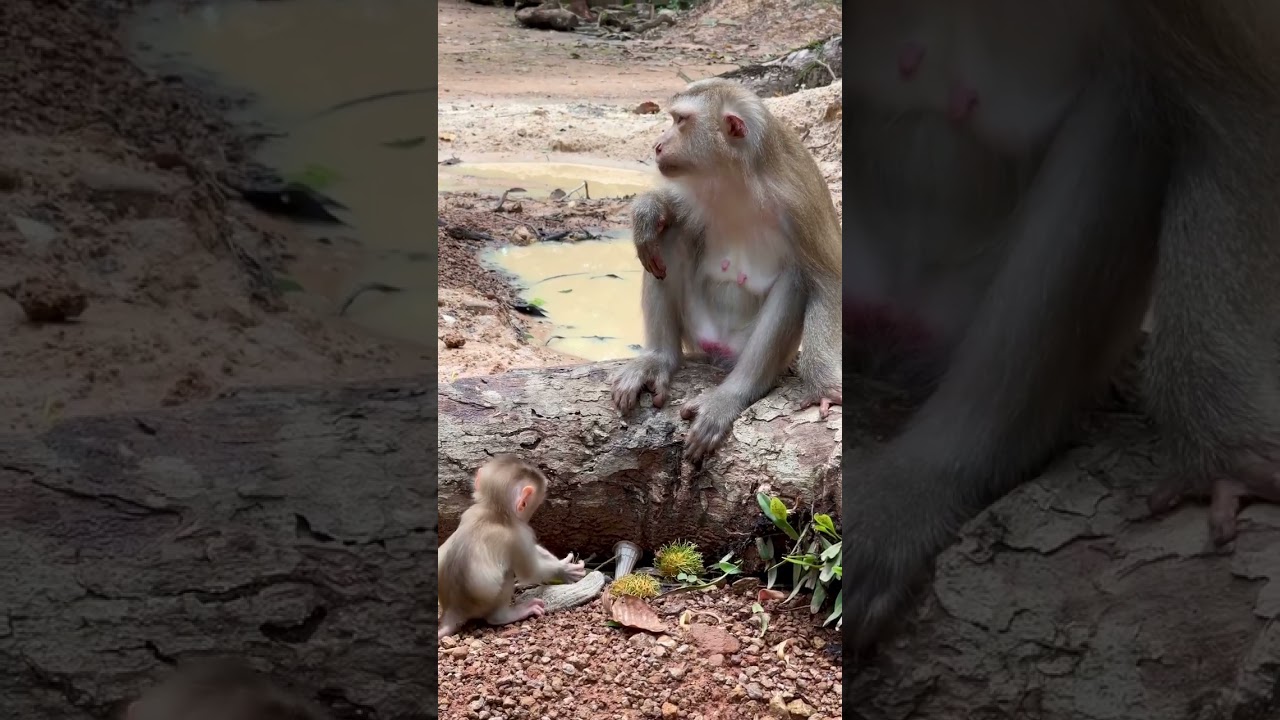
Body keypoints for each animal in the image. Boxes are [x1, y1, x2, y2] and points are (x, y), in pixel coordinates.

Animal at [437, 454, 586, 640]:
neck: (493, 512)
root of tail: (454, 611)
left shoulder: (470, 511)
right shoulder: (519, 534)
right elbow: (531, 571)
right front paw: (564, 570)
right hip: (488, 602)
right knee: (507, 577)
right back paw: (506, 615)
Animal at [609, 78, 843, 463]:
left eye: (680, 121)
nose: (658, 145)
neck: (736, 176)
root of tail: (718, 346)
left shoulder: (799, 202)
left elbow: (828, 279)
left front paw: (824, 385)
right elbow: (672, 214)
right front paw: (648, 210)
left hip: (742, 345)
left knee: (796, 279)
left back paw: (733, 393)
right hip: (697, 326)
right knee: (667, 238)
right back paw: (659, 359)